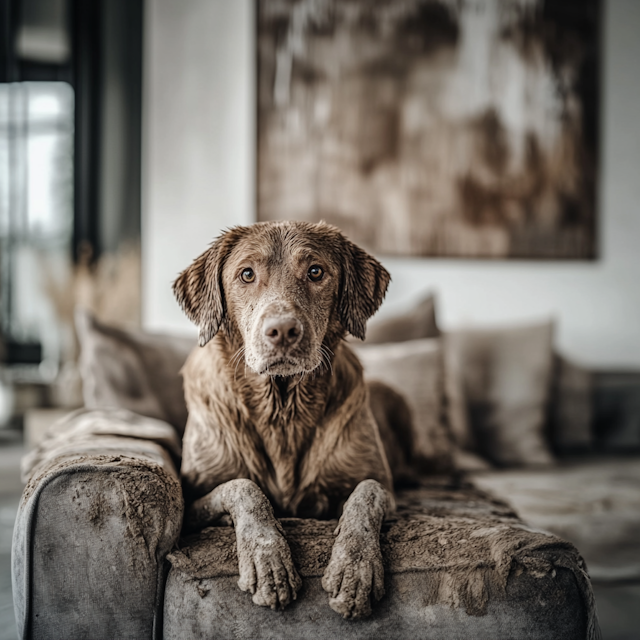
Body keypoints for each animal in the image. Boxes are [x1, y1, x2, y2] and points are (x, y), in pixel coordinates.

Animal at [172, 221, 402, 620]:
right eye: (247, 274)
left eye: (316, 272)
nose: (282, 331)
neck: (282, 408)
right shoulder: (193, 499)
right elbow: (244, 487)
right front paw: (269, 562)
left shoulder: (388, 492)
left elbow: (366, 494)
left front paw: (354, 569)